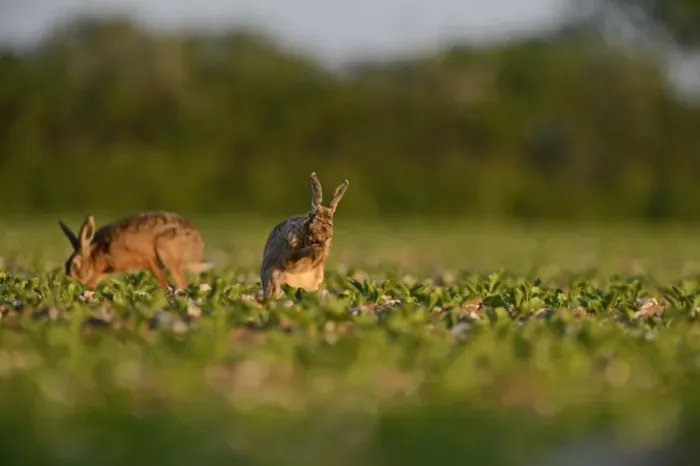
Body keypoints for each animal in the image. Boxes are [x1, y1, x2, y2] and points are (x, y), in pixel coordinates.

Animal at [58, 211, 211, 291]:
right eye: (65, 264)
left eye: (75, 265)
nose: (69, 280)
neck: (97, 255)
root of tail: (199, 248)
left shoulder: (147, 260)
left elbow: (162, 279)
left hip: (166, 252)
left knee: (181, 283)